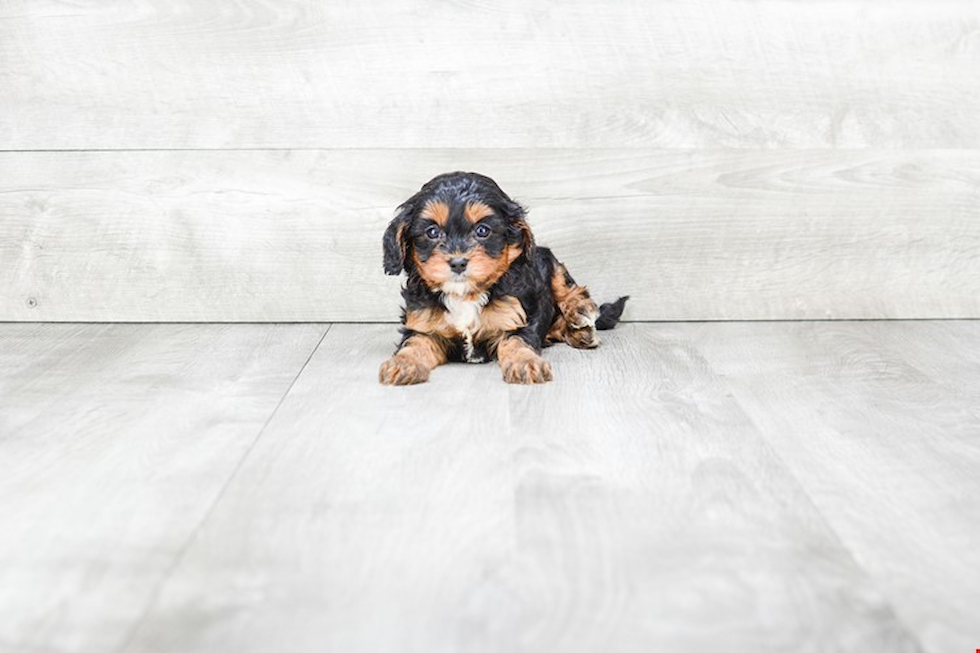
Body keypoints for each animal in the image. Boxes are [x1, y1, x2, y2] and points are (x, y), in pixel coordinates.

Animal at [378, 173, 624, 388]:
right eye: (431, 232)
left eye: (482, 230)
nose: (458, 263)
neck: (466, 294)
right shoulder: (424, 326)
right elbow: (415, 344)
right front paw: (402, 364)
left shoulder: (515, 319)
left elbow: (517, 342)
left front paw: (526, 363)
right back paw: (577, 334)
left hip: (546, 259)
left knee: (568, 287)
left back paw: (581, 313)